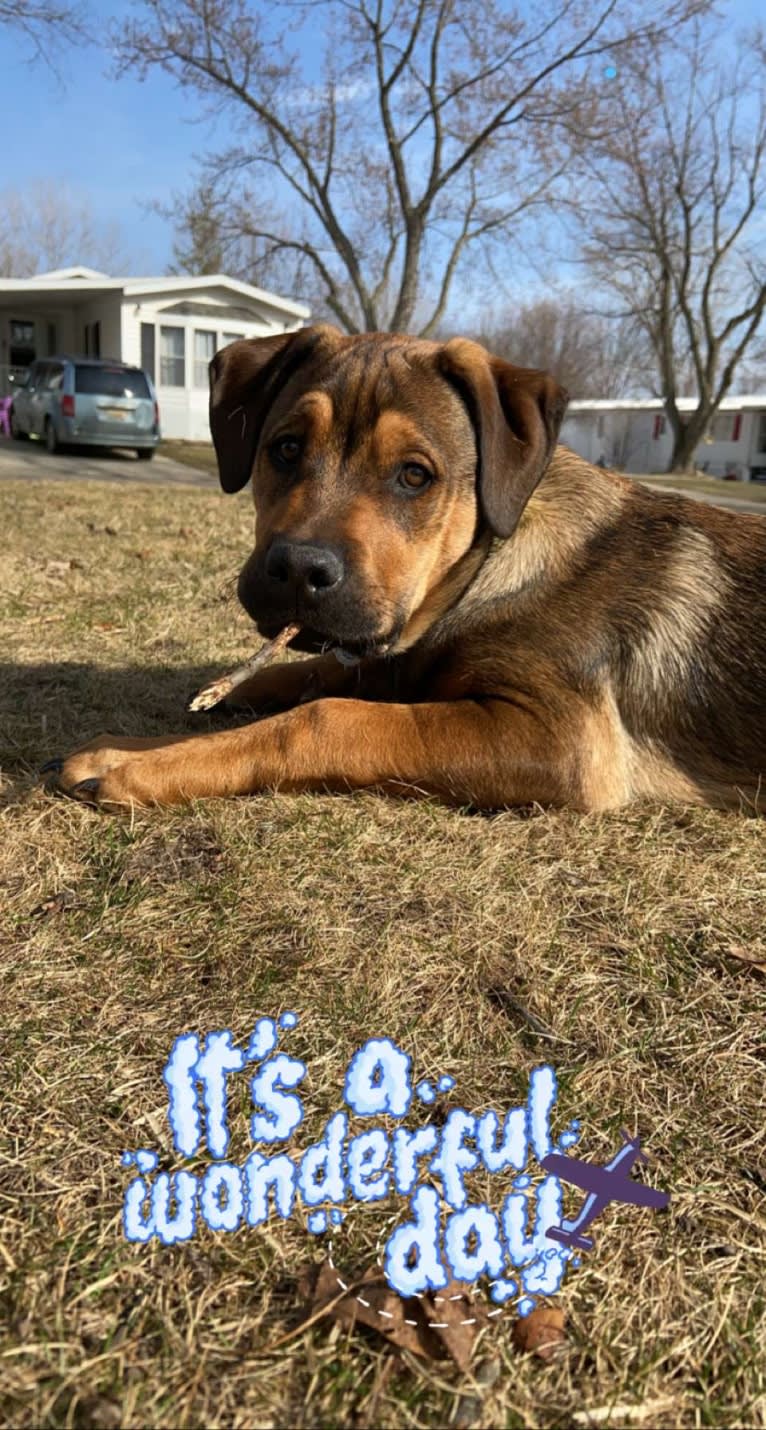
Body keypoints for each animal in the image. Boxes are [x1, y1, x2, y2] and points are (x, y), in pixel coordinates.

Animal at [50, 327, 766, 812]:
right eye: (285, 448)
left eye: (415, 475)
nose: (297, 570)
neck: (482, 573)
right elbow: (311, 673)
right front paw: (150, 733)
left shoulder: (565, 739)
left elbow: (324, 717)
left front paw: (136, 767)